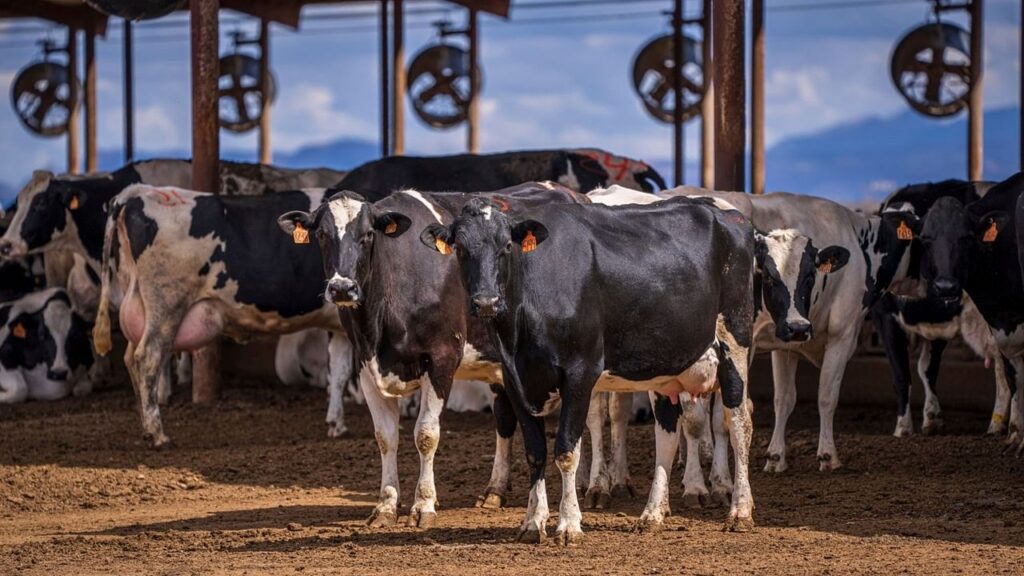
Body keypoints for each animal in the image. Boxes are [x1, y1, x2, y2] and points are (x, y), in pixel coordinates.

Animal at [93, 186, 356, 446]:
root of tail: (138, 191)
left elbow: (339, 372)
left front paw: (337, 424)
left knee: (130, 358)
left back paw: (144, 425)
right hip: (166, 305)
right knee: (147, 358)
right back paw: (156, 433)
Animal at [276, 182, 589, 524]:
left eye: (368, 234)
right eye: (321, 234)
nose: (342, 288)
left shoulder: (441, 359)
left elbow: (426, 434)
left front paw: (423, 504)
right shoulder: (366, 365)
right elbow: (385, 437)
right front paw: (386, 505)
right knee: (505, 418)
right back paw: (495, 490)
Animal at [419, 194, 757, 541]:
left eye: (506, 246)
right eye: (461, 248)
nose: (486, 302)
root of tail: (726, 214)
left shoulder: (580, 373)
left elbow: (567, 451)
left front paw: (568, 524)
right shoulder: (515, 379)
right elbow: (536, 452)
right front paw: (533, 523)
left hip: (735, 341)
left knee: (739, 424)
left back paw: (739, 512)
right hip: (666, 366)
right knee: (667, 433)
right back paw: (652, 514)